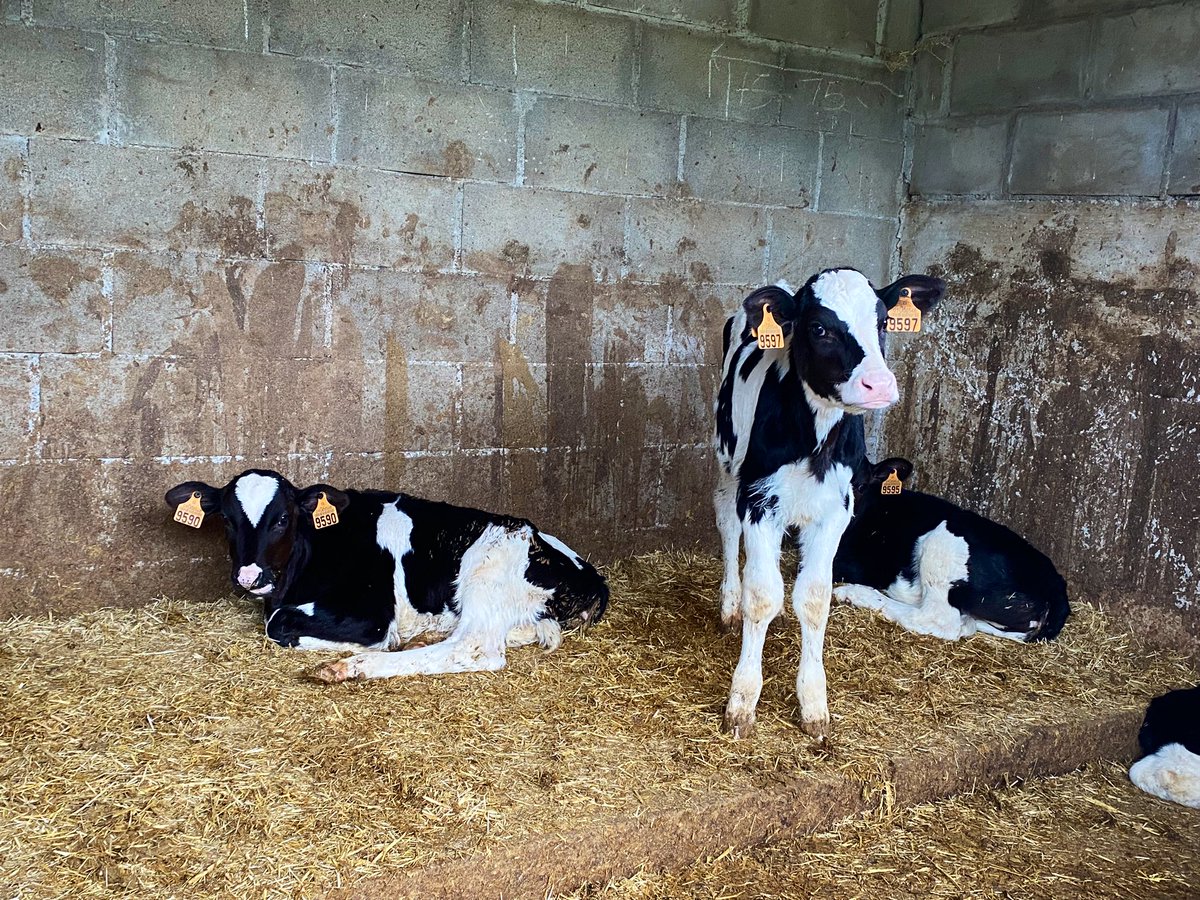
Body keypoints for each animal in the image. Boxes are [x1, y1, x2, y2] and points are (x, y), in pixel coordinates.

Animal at [165, 469, 608, 681]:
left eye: (282, 519)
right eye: (227, 519)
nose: (249, 576)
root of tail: (591, 574)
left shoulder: (371, 615)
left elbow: (278, 625)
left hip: (487, 567)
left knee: (475, 648)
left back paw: (351, 666)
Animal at [714, 268, 944, 739]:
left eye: (882, 321)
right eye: (819, 328)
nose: (879, 384)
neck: (815, 442)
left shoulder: (836, 510)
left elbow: (815, 599)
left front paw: (813, 702)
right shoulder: (759, 500)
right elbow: (760, 595)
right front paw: (743, 700)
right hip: (727, 458)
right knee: (727, 525)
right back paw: (729, 605)